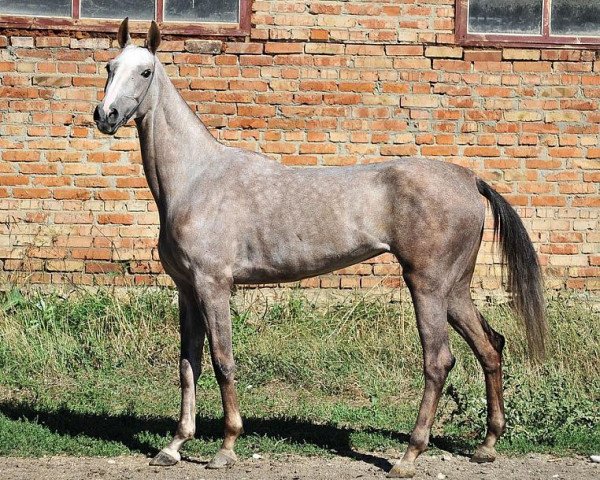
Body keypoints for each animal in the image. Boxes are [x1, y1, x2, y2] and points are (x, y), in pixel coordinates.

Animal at [91, 17, 548, 476]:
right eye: (110, 67)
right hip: (455, 289)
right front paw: (174, 446)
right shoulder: (186, 290)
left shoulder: (213, 286)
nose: (105, 115)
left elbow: (223, 361)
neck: (197, 178)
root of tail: (469, 179)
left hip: (428, 286)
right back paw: (487, 444)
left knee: (438, 362)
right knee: (490, 347)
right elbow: (189, 364)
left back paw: (408, 456)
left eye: (145, 71)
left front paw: (226, 447)